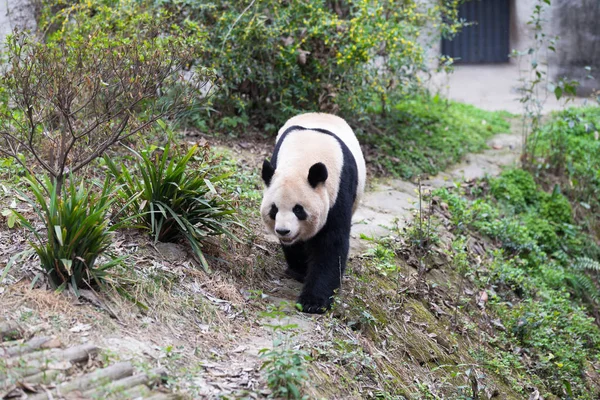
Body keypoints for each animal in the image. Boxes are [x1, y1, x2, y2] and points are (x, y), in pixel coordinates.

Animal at [262, 112, 366, 312]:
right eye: (274, 209)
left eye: (298, 210)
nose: (283, 231)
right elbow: (296, 245)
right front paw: (299, 270)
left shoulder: (339, 190)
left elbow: (331, 242)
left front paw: (313, 302)